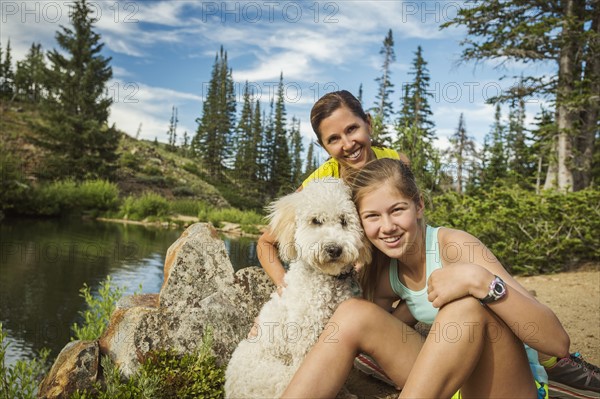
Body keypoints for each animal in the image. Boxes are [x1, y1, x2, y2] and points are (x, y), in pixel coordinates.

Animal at [226, 180, 370, 399]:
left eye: (344, 220)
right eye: (315, 221)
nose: (334, 249)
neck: (327, 281)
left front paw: (346, 393)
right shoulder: (307, 339)